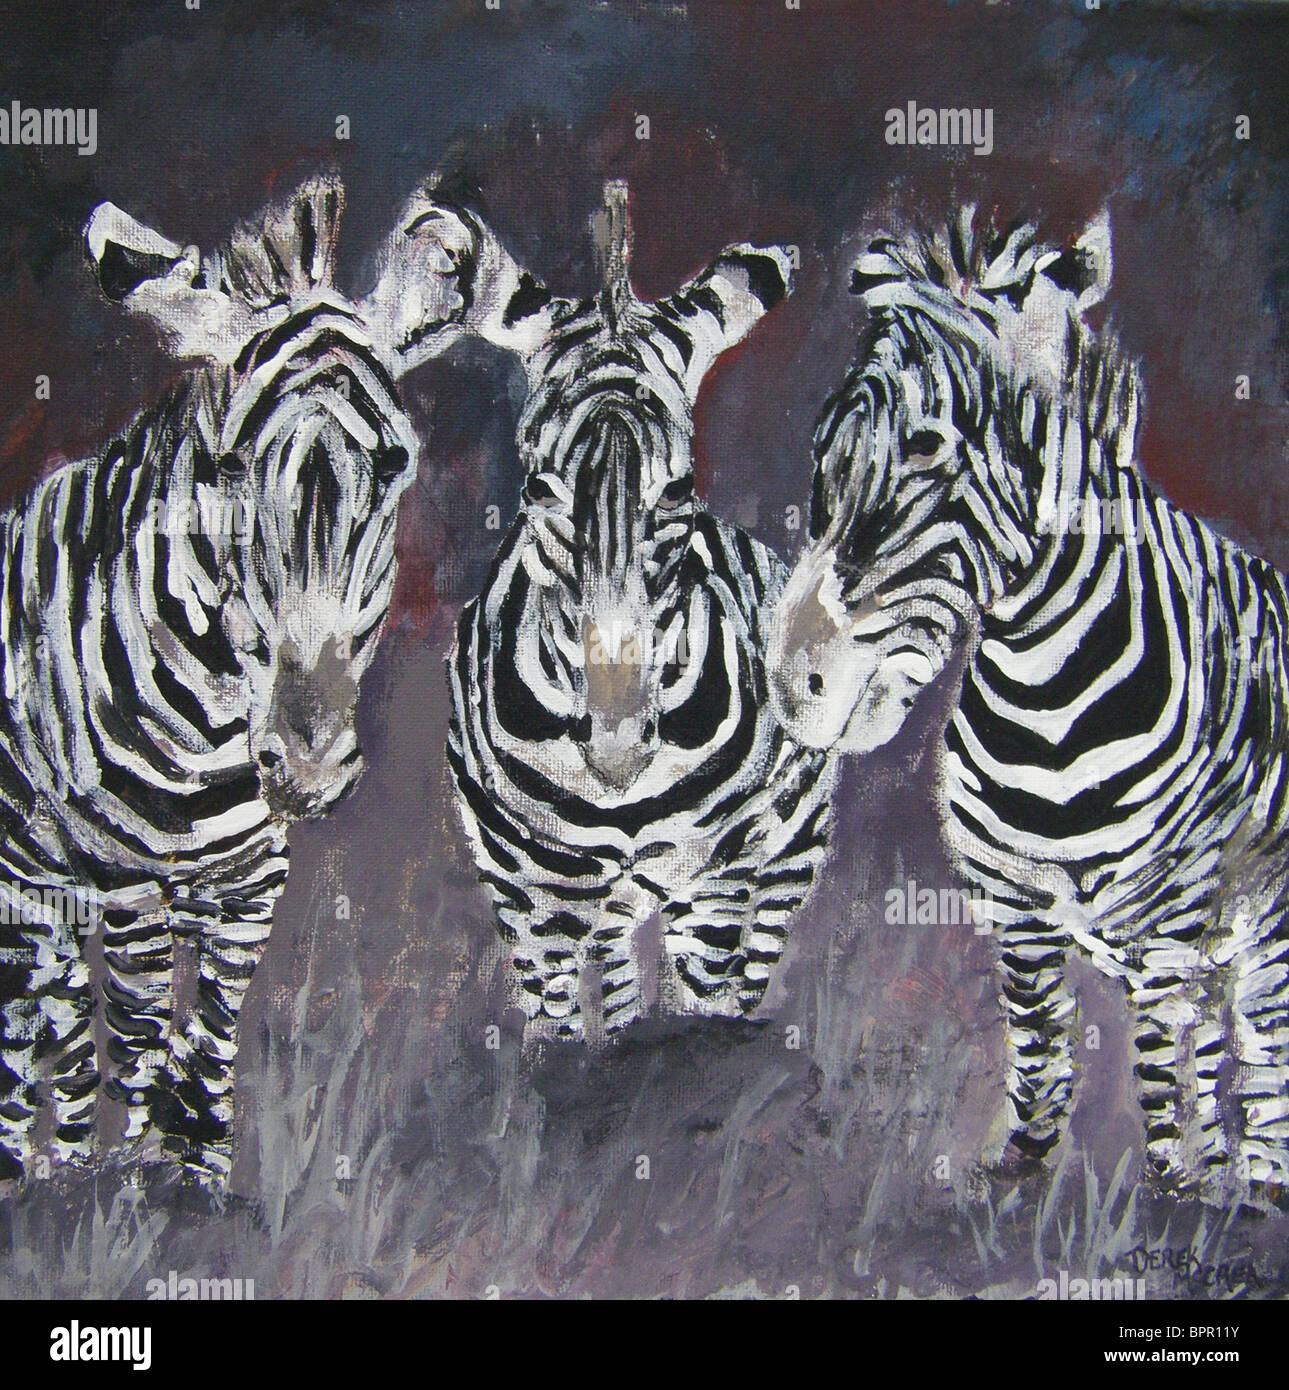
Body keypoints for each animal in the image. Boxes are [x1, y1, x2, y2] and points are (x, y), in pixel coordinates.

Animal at [0, 174, 445, 1186]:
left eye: (395, 465)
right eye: (229, 467)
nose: (308, 769)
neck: (206, 726)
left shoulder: (249, 881)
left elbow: (205, 1036)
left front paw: (194, 1177)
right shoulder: (123, 881)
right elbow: (133, 1031)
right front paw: (124, 1189)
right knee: (35, 1028)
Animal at [434, 180, 835, 1040]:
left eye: (676, 491)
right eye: (539, 491)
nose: (617, 747)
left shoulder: (714, 878)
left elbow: (705, 1008)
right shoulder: (533, 897)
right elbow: (556, 1025)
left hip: (784, 853)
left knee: (748, 968)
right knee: (611, 970)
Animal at [765, 206, 1289, 1204]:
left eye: (926, 451)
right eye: (819, 453)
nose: (791, 685)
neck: (1047, 702)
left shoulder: (1166, 928)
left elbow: (1161, 1073)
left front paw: (1169, 1200)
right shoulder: (1019, 921)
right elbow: (1043, 1058)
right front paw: (1019, 1182)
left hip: (1252, 913)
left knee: (1259, 1041)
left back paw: (1251, 1191)